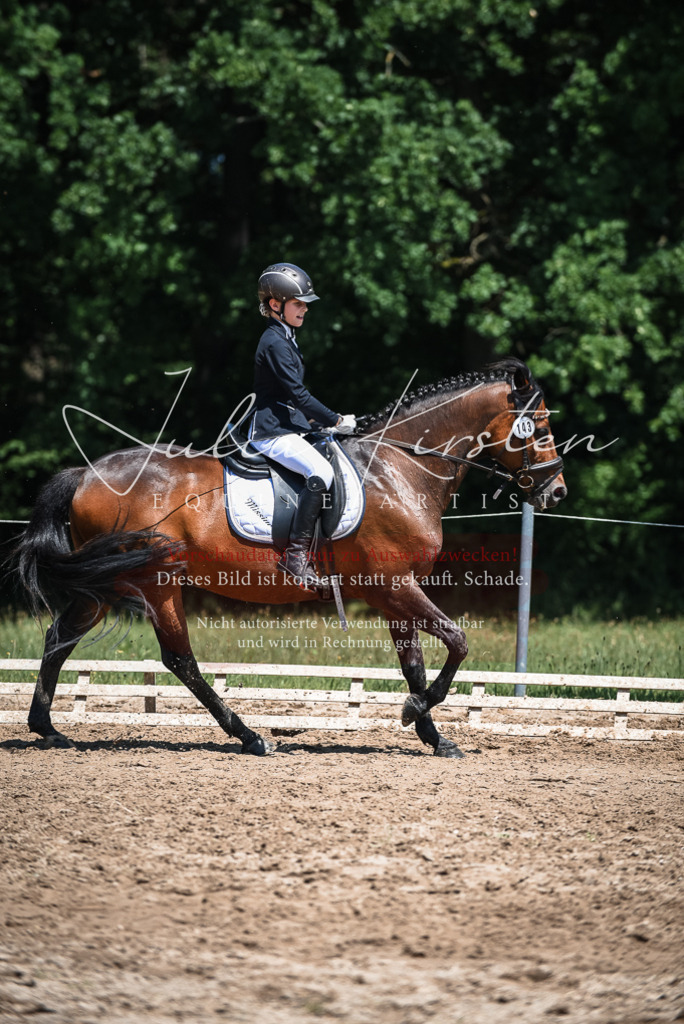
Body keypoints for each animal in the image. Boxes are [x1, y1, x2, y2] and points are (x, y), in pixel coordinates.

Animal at [9, 357, 566, 758]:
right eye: (538, 426)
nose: (556, 491)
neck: (399, 467)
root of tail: (85, 474)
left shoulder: (394, 593)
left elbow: (414, 663)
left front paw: (433, 736)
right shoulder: (393, 586)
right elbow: (457, 641)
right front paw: (414, 713)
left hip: (108, 585)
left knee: (60, 637)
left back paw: (47, 729)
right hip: (151, 581)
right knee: (179, 659)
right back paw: (251, 737)